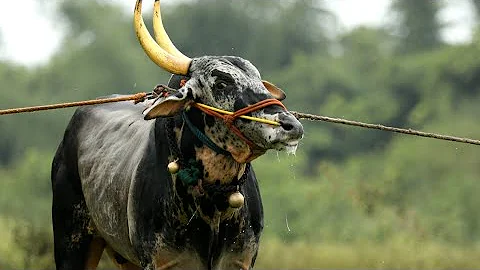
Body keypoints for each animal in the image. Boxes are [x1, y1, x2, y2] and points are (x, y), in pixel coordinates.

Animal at [51, 1, 304, 268]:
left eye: (259, 80)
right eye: (221, 83)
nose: (291, 125)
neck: (213, 202)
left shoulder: (240, 261)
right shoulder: (159, 261)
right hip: (72, 242)